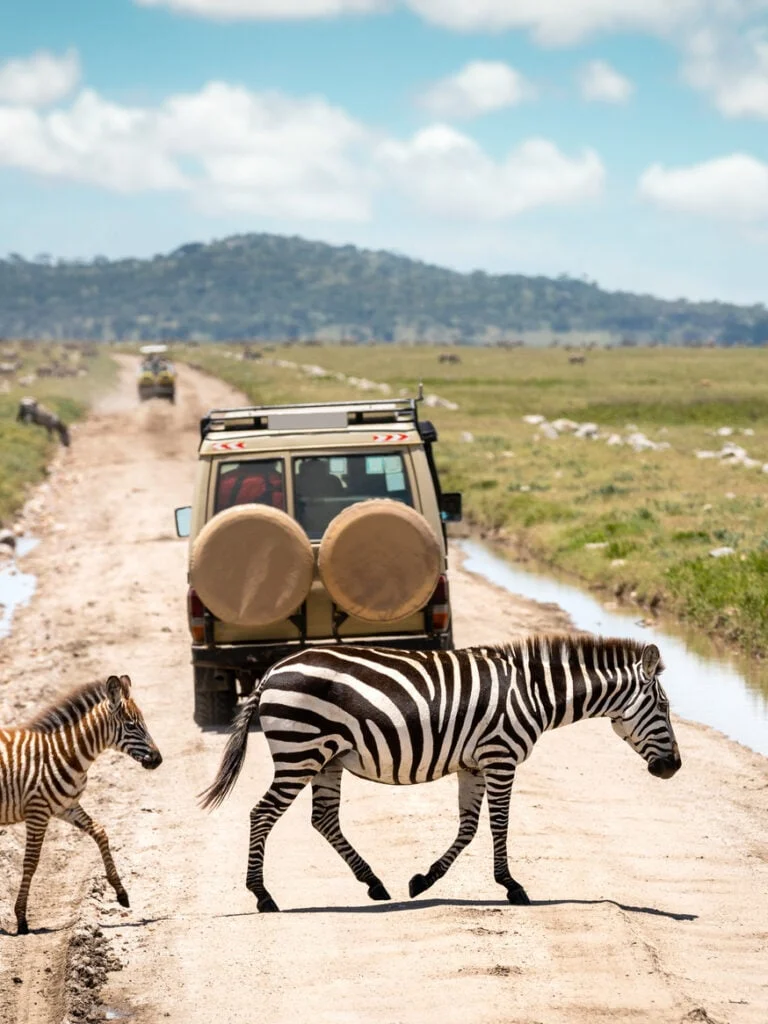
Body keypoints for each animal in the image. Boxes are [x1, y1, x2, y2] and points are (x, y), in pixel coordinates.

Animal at [0, 674, 162, 934]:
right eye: (131, 725)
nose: (158, 759)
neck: (64, 754)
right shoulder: (37, 811)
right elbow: (31, 862)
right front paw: (21, 919)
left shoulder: (67, 806)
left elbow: (100, 832)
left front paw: (121, 892)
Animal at [200, 635, 681, 913]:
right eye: (663, 706)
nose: (673, 767)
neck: (533, 693)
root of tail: (271, 672)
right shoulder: (500, 756)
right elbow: (499, 825)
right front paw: (513, 887)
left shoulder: (474, 764)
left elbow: (468, 827)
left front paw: (423, 880)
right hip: (300, 750)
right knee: (262, 814)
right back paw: (263, 896)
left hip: (326, 758)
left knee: (323, 819)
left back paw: (375, 884)